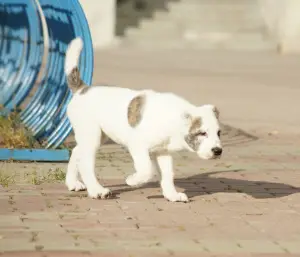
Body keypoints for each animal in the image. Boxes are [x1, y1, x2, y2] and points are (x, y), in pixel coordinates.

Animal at [64, 37, 221, 202]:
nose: (218, 151)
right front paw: (132, 180)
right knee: (85, 163)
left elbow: (167, 175)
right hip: (92, 136)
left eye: (219, 133)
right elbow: (147, 169)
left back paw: (73, 183)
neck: (172, 120)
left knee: (76, 151)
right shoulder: (137, 145)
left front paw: (172, 195)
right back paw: (97, 191)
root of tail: (82, 89)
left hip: (98, 136)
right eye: (202, 133)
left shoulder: (163, 152)